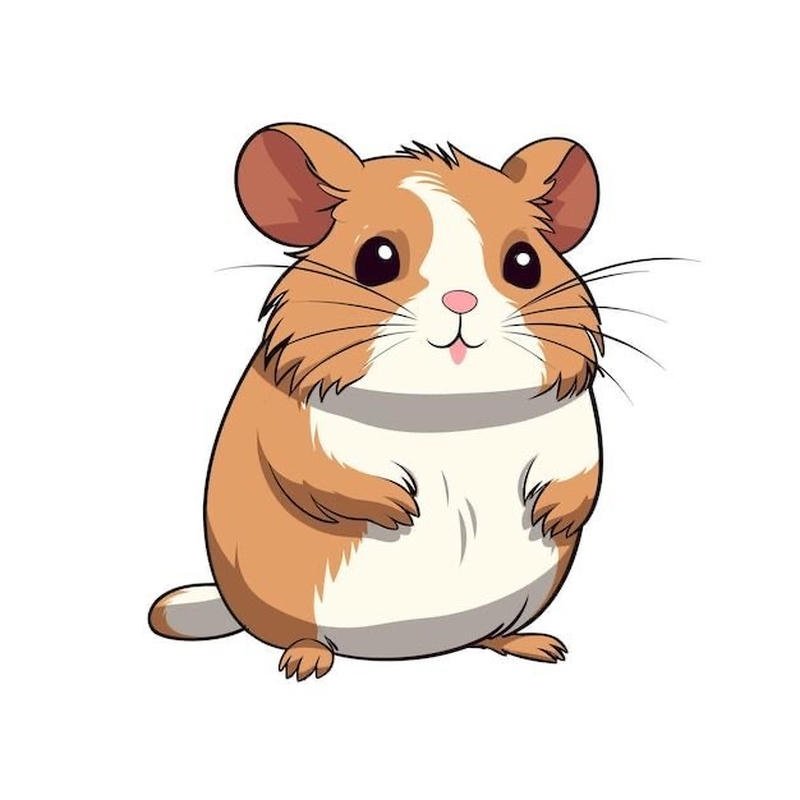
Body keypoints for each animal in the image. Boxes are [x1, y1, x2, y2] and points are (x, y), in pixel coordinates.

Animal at [149, 123, 604, 680]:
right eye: (377, 258)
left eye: (525, 263)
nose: (461, 301)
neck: (450, 405)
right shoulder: (296, 427)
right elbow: (320, 472)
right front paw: (403, 510)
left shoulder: (574, 425)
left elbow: (580, 473)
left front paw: (549, 516)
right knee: (303, 638)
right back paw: (304, 662)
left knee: (491, 636)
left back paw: (536, 645)